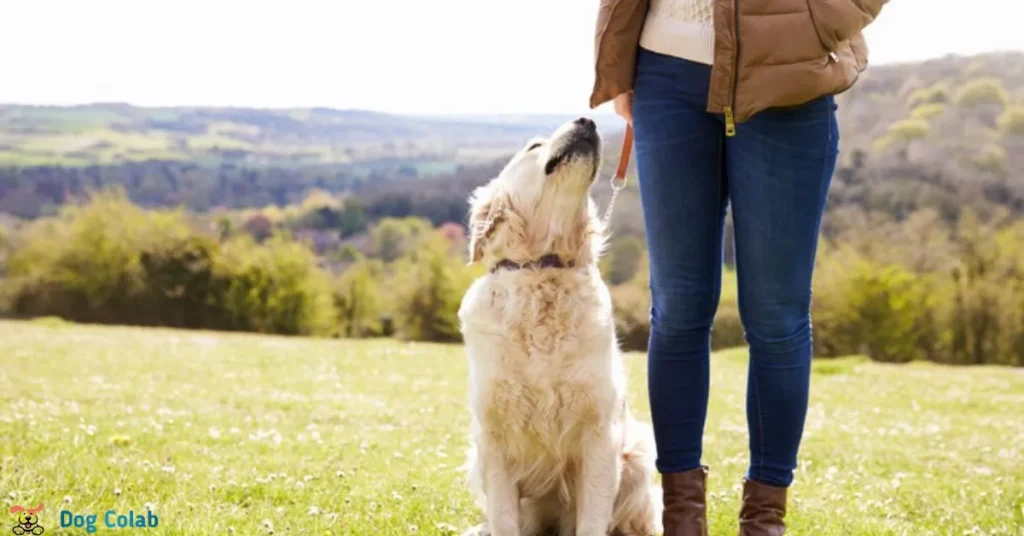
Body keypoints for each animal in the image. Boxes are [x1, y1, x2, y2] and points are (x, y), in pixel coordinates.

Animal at [458, 118, 663, 536]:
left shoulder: (601, 436)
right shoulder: (494, 440)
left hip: (637, 457)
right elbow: (503, 519)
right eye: (534, 146)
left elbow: (593, 519)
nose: (588, 120)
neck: (545, 268)